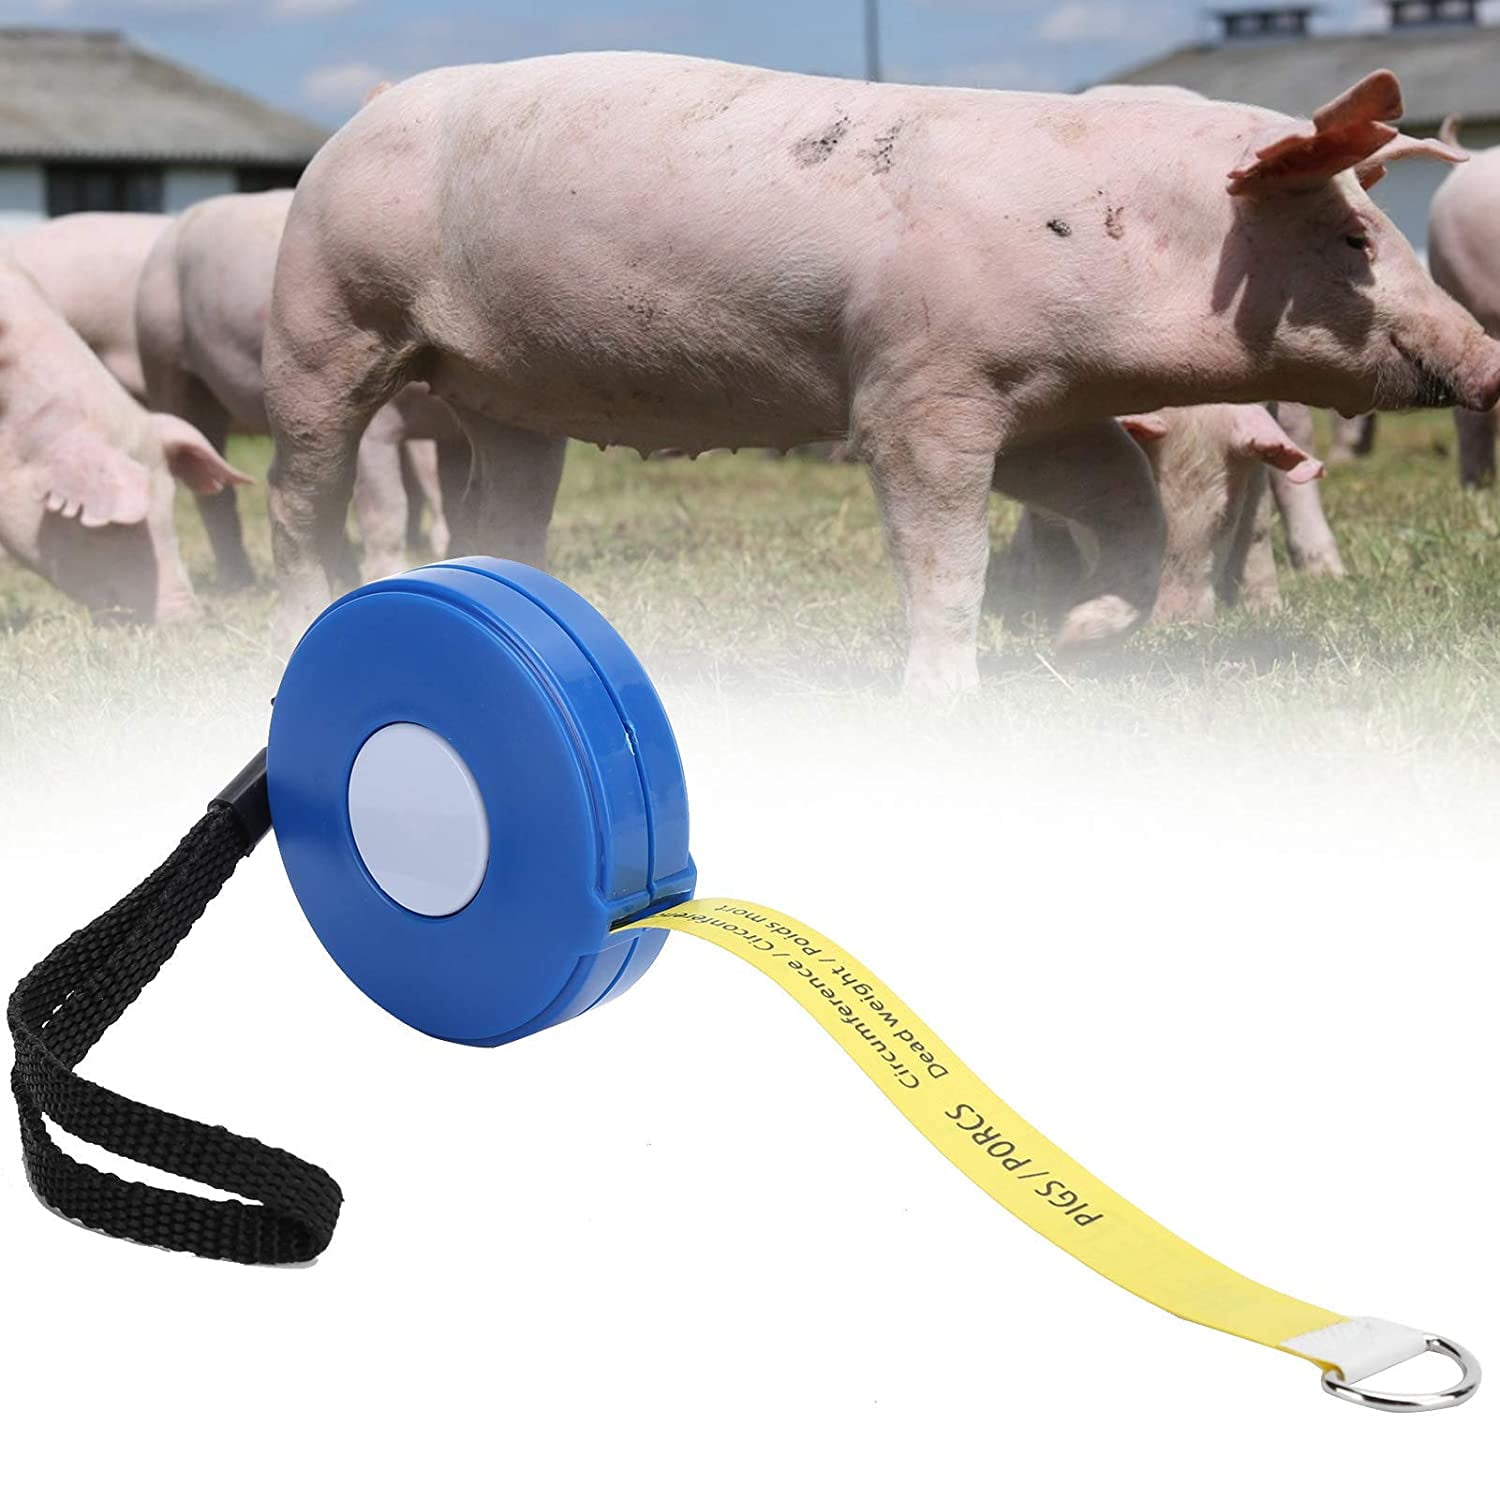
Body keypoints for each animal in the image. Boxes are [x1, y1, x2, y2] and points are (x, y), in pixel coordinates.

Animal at [133, 190, 465, 590]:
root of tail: (173, 227)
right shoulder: (376, 422)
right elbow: (387, 508)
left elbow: (454, 498)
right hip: (167, 362)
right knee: (214, 485)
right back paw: (240, 582)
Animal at [260, 55, 1500, 694]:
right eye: (1354, 238)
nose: (1491, 358)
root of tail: (368, 111)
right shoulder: (920, 391)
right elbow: (945, 557)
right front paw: (944, 704)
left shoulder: (1046, 411)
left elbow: (1128, 508)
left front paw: (1075, 639)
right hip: (325, 325)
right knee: (301, 492)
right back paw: (299, 629)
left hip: (509, 394)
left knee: (496, 511)